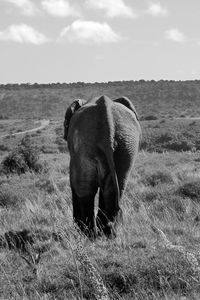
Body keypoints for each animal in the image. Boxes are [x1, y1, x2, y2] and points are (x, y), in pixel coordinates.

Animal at [63, 95, 141, 238]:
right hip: (127, 145)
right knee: (114, 189)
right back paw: (108, 233)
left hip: (84, 144)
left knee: (85, 189)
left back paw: (88, 234)